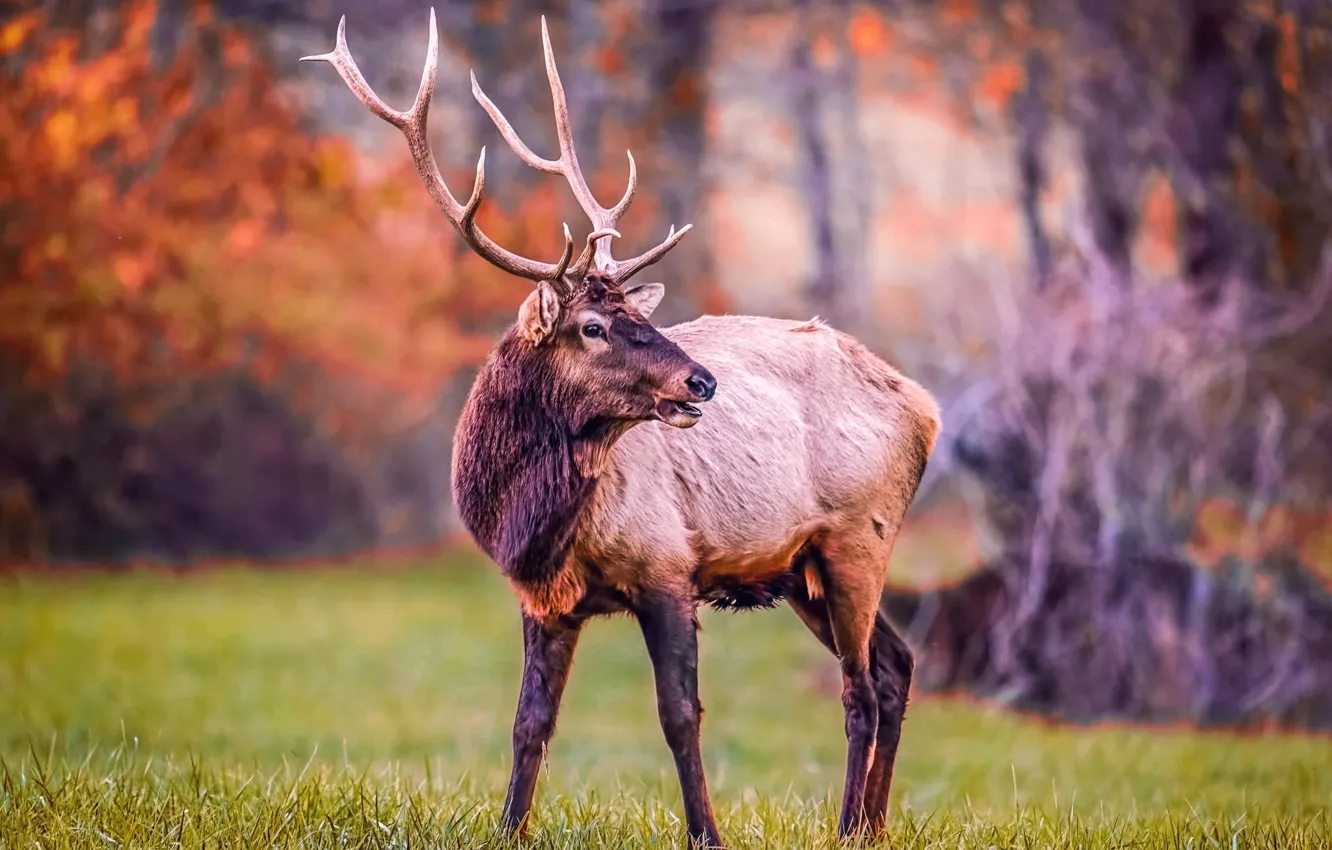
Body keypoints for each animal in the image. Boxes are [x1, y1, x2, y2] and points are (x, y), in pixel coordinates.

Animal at [302, 10, 941, 848]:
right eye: (596, 326)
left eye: (641, 315)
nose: (702, 379)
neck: (529, 522)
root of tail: (926, 407)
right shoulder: (541, 598)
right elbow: (530, 723)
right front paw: (508, 829)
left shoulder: (665, 565)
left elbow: (679, 716)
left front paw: (707, 834)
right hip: (803, 565)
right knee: (895, 667)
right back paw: (871, 826)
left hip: (858, 537)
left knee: (861, 687)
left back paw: (845, 828)